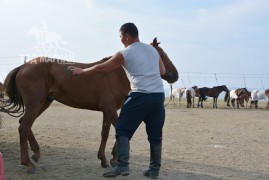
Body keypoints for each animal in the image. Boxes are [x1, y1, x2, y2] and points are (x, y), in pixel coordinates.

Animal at [0, 37, 179, 173]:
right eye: (160, 55)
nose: (174, 75)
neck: (116, 73)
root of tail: (24, 66)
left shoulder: (107, 110)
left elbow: (105, 133)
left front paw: (105, 159)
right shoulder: (109, 109)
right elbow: (120, 131)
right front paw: (113, 159)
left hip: (43, 102)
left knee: (24, 124)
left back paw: (36, 153)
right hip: (35, 103)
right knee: (24, 127)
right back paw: (28, 164)